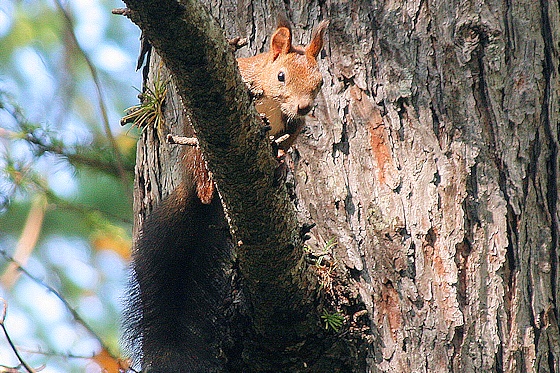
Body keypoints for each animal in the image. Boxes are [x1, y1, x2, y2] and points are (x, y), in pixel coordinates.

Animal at [125, 18, 328, 370]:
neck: (275, 104)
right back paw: (208, 184)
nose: (304, 106)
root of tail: (193, 190)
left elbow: (287, 143)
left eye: (319, 82)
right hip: (197, 148)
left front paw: (281, 163)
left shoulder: (293, 127)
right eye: (281, 76)